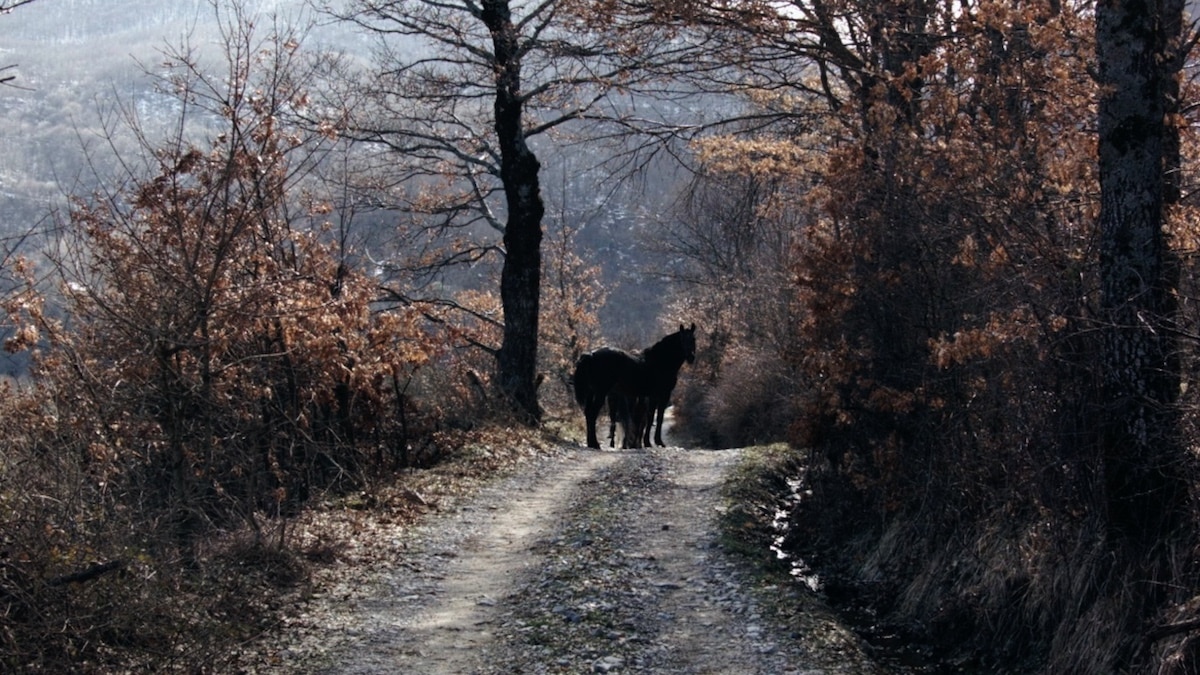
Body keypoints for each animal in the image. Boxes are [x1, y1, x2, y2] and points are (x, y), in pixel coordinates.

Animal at [568, 324, 696, 449]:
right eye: (682, 339)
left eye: (693, 339)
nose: (691, 357)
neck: (660, 362)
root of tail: (591, 355)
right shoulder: (661, 395)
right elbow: (658, 418)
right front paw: (657, 442)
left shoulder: (651, 396)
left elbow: (650, 418)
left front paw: (647, 442)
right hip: (601, 393)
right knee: (592, 414)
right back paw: (595, 444)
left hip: (592, 393)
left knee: (588, 413)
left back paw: (591, 443)